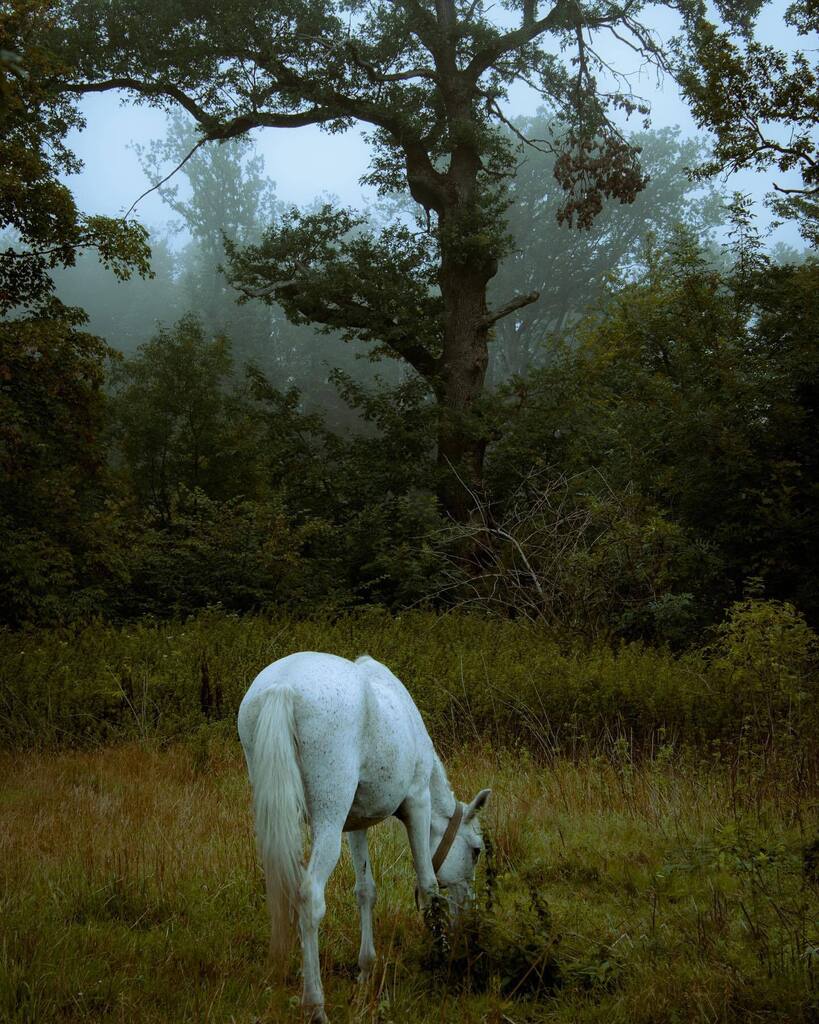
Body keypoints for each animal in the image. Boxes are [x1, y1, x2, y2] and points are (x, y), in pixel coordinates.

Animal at [238, 651, 491, 1022]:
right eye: (475, 851)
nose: (468, 916)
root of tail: (283, 685)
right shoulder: (418, 803)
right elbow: (429, 885)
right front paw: (441, 960)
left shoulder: (356, 824)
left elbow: (365, 891)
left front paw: (366, 970)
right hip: (327, 820)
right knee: (309, 896)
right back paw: (316, 1006)